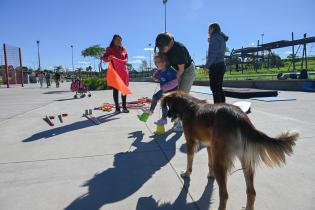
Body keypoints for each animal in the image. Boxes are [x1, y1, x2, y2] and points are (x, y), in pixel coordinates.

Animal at [163, 91, 298, 210]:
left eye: (169, 106)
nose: (168, 115)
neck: (188, 105)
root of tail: (239, 117)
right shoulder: (210, 145)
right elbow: (209, 162)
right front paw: (210, 175)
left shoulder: (191, 142)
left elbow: (189, 161)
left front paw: (187, 173)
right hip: (245, 160)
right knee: (251, 191)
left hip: (221, 162)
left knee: (224, 194)